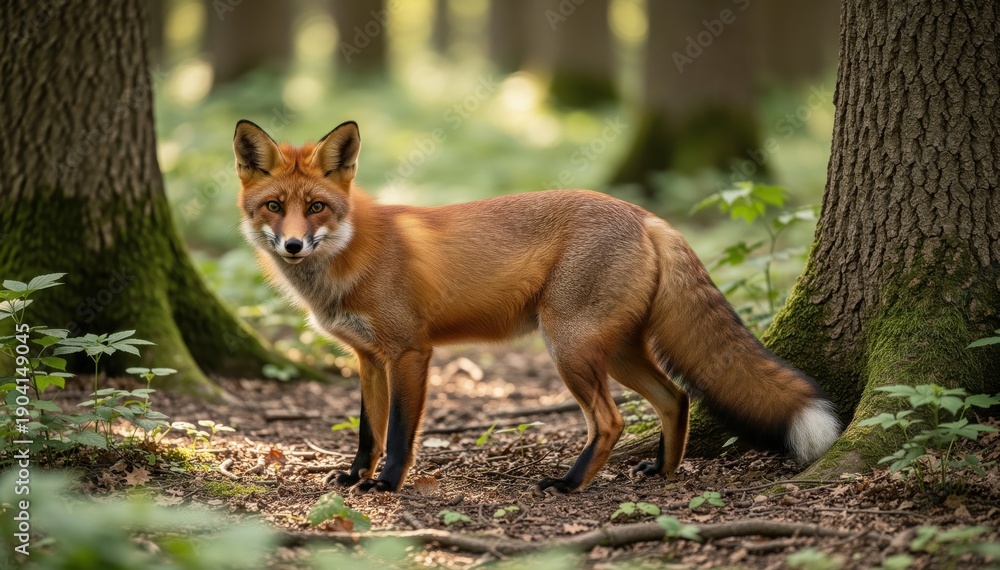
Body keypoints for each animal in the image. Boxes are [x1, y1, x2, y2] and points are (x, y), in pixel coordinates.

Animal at [233, 119, 841, 494]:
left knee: (611, 420)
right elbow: (368, 430)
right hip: (617, 349)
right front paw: (357, 477)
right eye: (274, 207)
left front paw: (386, 484)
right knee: (677, 397)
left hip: (569, 347)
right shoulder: (367, 359)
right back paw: (663, 472)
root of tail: (644, 214)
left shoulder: (410, 352)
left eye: (316, 207)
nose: (293, 245)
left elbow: (400, 432)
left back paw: (571, 484)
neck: (351, 254)